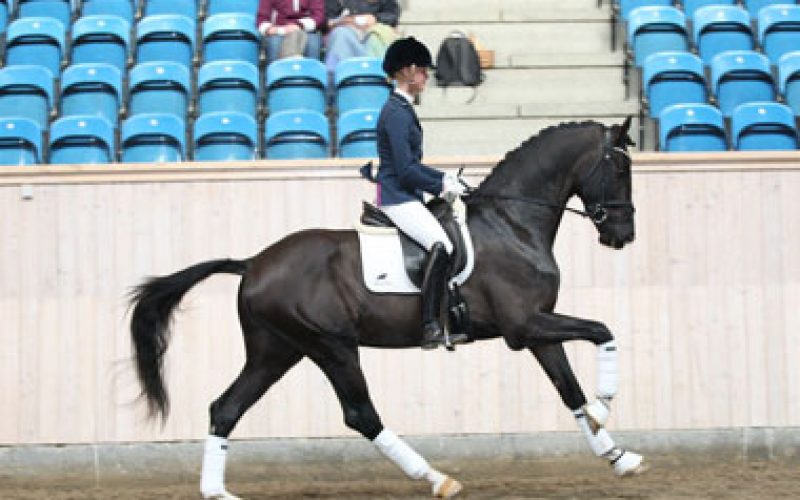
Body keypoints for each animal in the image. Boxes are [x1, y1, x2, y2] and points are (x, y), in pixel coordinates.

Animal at [129, 117, 643, 499]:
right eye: (619, 169)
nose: (623, 235)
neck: (511, 223)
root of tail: (253, 263)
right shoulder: (524, 326)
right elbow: (602, 330)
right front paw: (605, 403)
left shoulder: (537, 329)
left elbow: (569, 389)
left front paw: (618, 456)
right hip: (332, 347)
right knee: (361, 415)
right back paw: (438, 479)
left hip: (276, 351)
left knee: (226, 407)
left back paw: (217, 491)